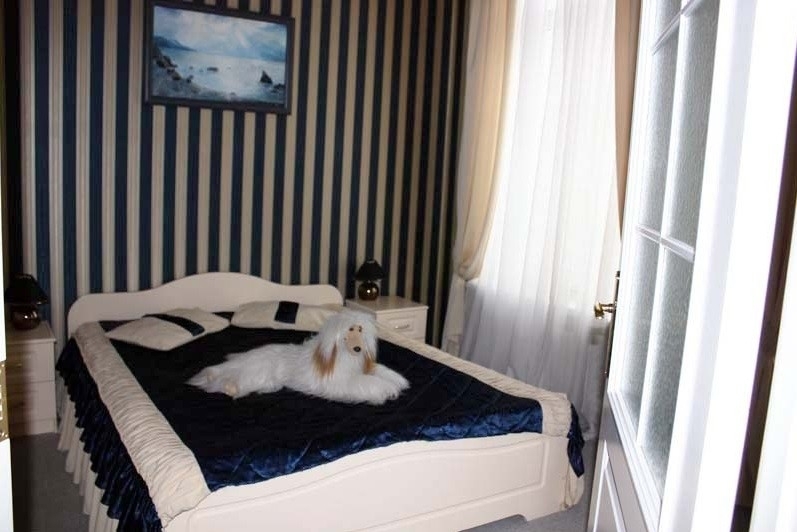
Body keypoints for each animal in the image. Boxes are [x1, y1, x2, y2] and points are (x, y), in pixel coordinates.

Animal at [187, 311, 410, 405]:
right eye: (349, 330)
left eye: (360, 329)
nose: (358, 348)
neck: (343, 355)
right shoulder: (342, 381)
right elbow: (369, 382)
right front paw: (387, 389)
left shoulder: (362, 367)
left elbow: (381, 372)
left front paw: (397, 381)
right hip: (256, 371)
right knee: (231, 380)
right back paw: (229, 387)